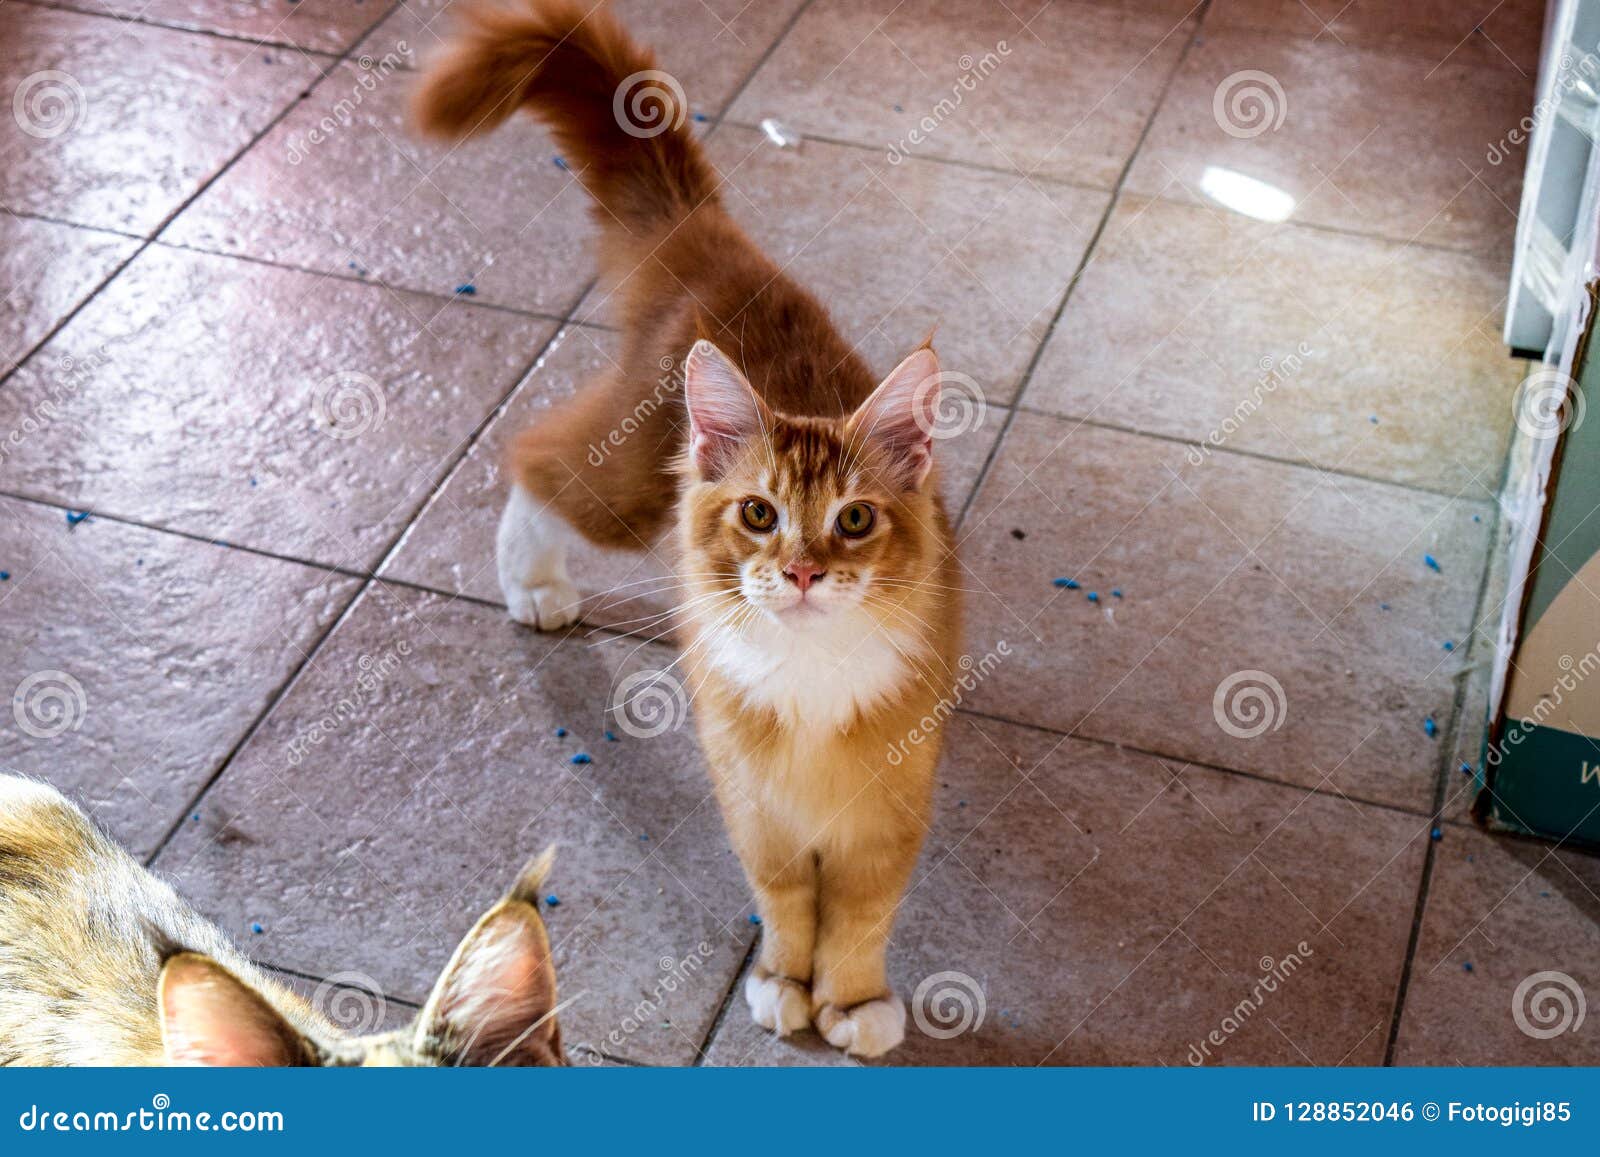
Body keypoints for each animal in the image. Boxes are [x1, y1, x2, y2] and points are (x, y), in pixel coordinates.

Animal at [416, 0, 960, 1056]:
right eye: (759, 515)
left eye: (854, 520)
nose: (801, 571)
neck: (812, 679)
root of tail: (718, 245)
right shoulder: (753, 802)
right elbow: (787, 901)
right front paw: (787, 985)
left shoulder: (892, 808)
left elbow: (863, 916)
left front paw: (854, 1002)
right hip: (627, 487)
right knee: (533, 453)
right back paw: (533, 582)